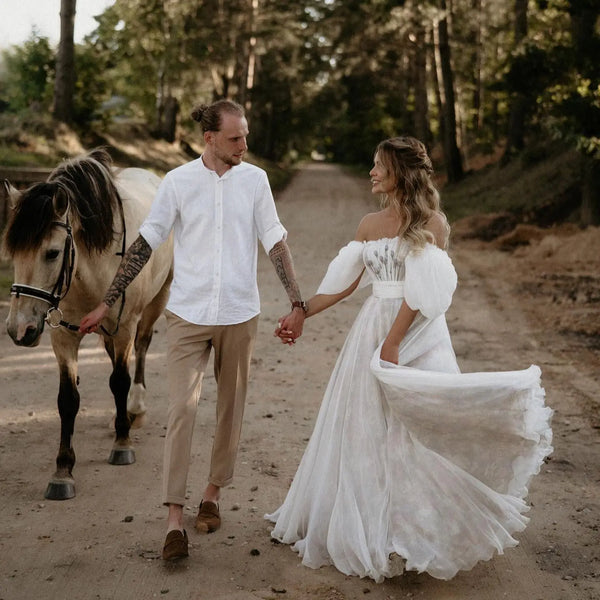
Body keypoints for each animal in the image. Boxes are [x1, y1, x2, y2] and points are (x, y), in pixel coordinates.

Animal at [2, 149, 173, 502]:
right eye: (13, 253)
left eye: (52, 253)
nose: (18, 329)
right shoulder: (63, 335)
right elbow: (67, 400)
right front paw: (63, 470)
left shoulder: (124, 326)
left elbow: (119, 380)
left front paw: (122, 444)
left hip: (156, 302)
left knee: (142, 347)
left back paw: (135, 409)